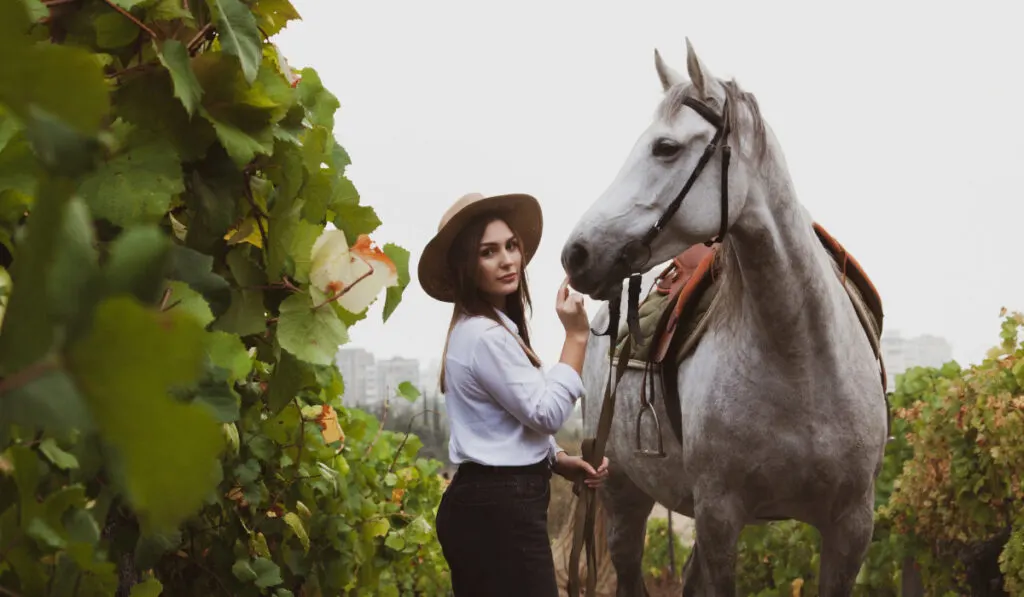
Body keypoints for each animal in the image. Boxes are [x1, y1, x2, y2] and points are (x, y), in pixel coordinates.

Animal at [561, 39, 888, 593]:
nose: (576, 254)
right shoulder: (719, 517)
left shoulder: (851, 526)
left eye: (665, 147)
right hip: (622, 491)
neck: (801, 361)